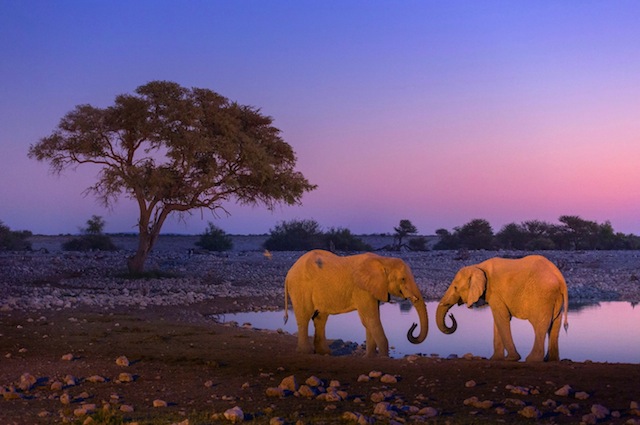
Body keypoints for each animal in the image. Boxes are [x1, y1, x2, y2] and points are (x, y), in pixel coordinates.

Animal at [284, 248, 424, 354]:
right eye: (403, 279)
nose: (413, 324)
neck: (383, 260)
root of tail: (289, 272)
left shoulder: (372, 289)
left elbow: (369, 320)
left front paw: (370, 358)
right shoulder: (361, 289)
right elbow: (371, 319)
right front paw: (383, 358)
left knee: (320, 318)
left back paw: (324, 353)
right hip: (300, 287)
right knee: (304, 316)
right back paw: (305, 352)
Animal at [436, 255, 568, 362]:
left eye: (455, 287)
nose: (451, 315)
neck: (477, 266)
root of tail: (561, 279)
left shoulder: (495, 293)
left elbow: (502, 318)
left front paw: (512, 358)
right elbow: (498, 321)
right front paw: (495, 359)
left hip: (542, 297)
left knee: (540, 325)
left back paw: (533, 360)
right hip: (555, 298)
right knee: (555, 324)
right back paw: (551, 360)